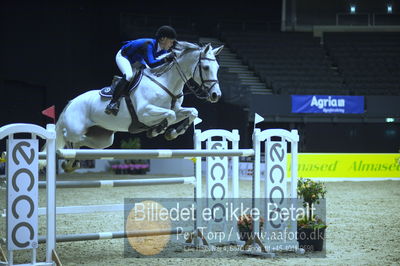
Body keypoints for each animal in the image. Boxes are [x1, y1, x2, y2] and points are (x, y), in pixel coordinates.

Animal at [53, 40, 223, 171]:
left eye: (218, 68)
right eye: (206, 67)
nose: (216, 95)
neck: (166, 83)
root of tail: (71, 102)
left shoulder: (177, 109)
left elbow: (192, 112)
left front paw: (172, 133)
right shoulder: (145, 112)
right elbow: (170, 115)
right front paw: (157, 130)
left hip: (103, 139)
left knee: (80, 142)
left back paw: (71, 163)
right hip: (76, 129)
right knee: (67, 137)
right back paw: (68, 159)